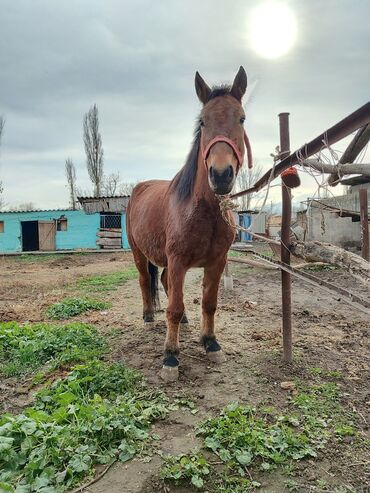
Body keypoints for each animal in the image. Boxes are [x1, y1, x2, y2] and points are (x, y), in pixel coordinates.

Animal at [126, 66, 251, 380]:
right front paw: (170, 356)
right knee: (146, 281)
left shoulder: (217, 261)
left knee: (163, 282)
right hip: (139, 252)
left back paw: (183, 320)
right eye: (203, 121)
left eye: (241, 118)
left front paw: (211, 343)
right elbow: (171, 307)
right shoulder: (178, 260)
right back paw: (148, 316)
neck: (203, 211)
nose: (221, 174)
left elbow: (209, 303)